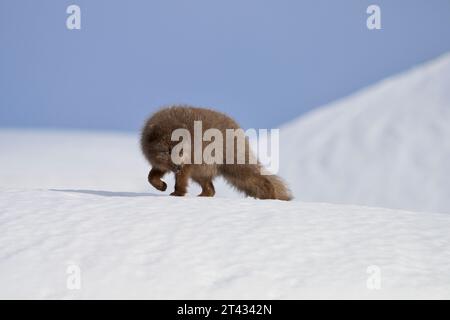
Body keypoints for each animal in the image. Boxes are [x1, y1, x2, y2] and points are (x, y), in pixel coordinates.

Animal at [142, 105, 294, 200]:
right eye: (168, 151)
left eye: (181, 151)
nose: (178, 167)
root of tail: (237, 127)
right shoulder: (161, 165)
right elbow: (150, 177)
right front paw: (161, 186)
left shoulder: (188, 162)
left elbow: (180, 181)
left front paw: (177, 194)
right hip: (201, 171)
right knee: (211, 190)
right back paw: (203, 196)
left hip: (233, 166)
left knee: (262, 179)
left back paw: (270, 196)